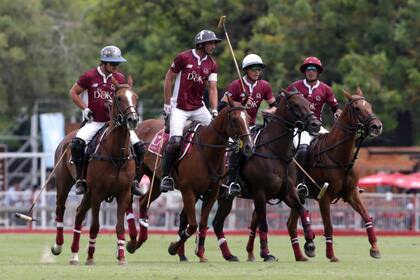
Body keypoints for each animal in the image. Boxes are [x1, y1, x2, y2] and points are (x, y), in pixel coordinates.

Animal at [49, 85, 138, 264]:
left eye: (135, 97)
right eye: (119, 98)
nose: (133, 119)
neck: (116, 154)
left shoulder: (124, 193)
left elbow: (119, 226)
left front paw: (121, 256)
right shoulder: (97, 192)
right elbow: (95, 226)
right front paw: (90, 257)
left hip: (87, 192)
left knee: (78, 213)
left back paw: (74, 255)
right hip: (64, 183)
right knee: (60, 209)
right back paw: (58, 246)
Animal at [125, 98, 253, 260]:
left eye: (248, 118)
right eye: (235, 119)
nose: (249, 146)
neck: (208, 151)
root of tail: (141, 125)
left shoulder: (211, 193)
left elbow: (202, 224)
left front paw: (197, 253)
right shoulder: (188, 191)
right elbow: (192, 225)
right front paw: (174, 248)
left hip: (156, 181)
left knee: (142, 202)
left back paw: (138, 241)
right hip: (137, 174)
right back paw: (131, 241)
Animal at [210, 91, 322, 262]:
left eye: (308, 103)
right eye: (295, 104)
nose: (316, 124)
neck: (275, 152)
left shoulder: (288, 192)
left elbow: (302, 209)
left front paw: (309, 242)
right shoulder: (260, 194)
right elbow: (263, 223)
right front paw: (266, 252)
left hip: (226, 198)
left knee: (217, 223)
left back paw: (228, 255)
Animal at [288, 87, 382, 262]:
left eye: (370, 106)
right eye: (357, 108)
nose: (377, 126)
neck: (339, 157)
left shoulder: (351, 193)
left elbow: (367, 217)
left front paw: (375, 249)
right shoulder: (324, 197)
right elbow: (328, 226)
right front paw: (331, 255)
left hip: (297, 198)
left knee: (290, 224)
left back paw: (303, 251)